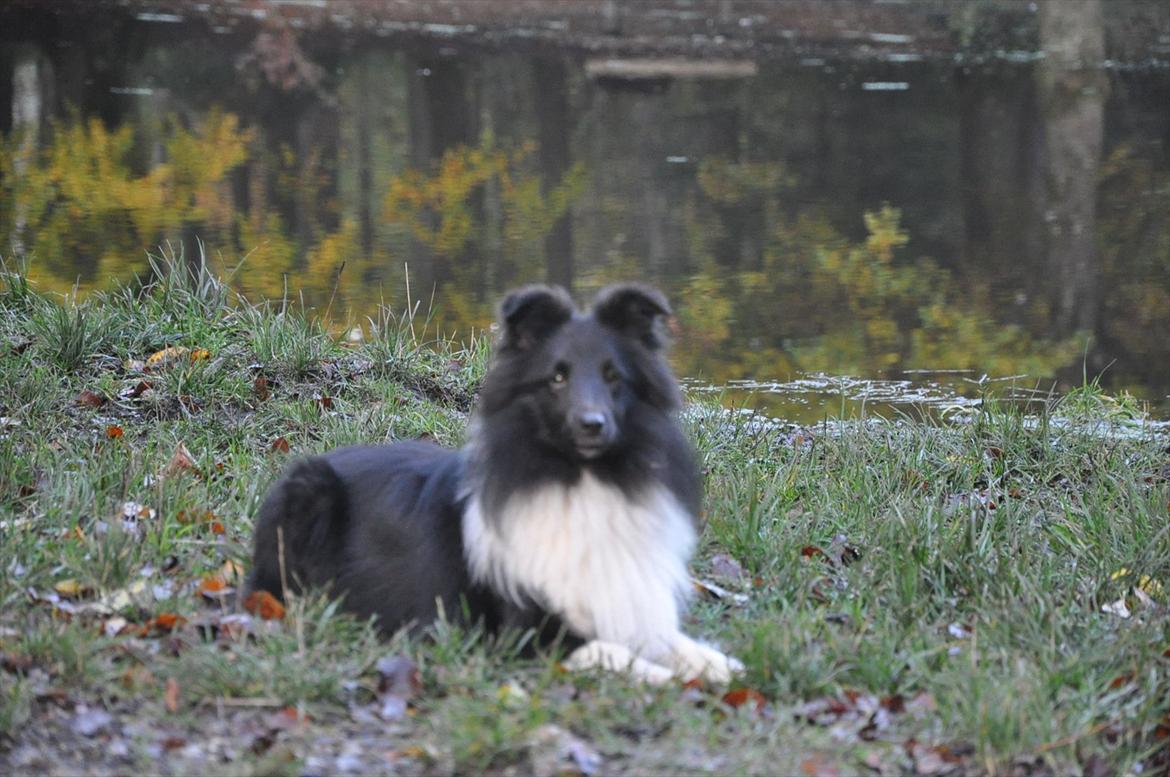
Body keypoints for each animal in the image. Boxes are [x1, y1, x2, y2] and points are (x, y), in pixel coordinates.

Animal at [249, 284, 739, 678]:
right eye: (557, 377)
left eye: (612, 375)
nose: (592, 425)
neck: (579, 482)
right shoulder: (519, 634)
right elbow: (610, 651)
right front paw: (666, 678)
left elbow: (672, 643)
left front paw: (718, 665)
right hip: (308, 490)